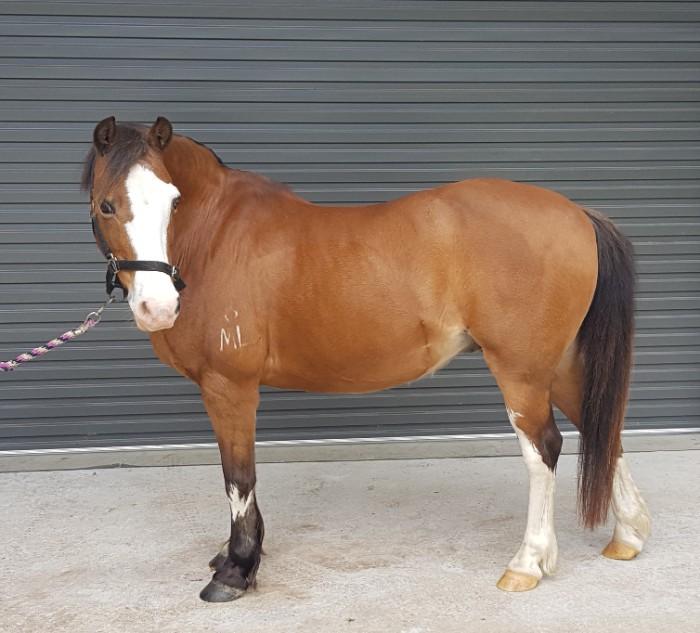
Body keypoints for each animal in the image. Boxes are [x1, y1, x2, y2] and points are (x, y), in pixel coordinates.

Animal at [81, 116, 651, 602]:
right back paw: (628, 535)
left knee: (544, 448)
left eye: (173, 202)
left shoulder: (230, 386)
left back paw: (527, 564)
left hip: (521, 370)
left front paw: (236, 569)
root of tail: (578, 215)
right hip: (558, 364)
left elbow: (238, 476)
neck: (215, 238)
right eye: (107, 206)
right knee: (603, 427)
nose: (158, 307)